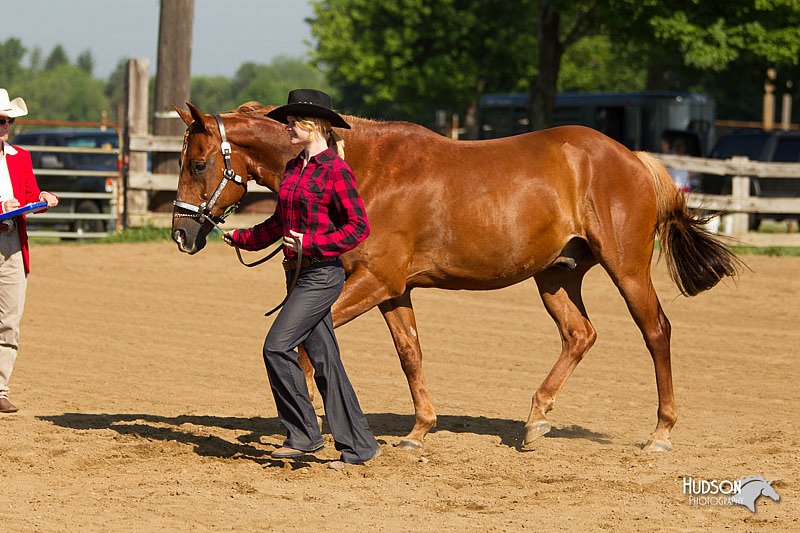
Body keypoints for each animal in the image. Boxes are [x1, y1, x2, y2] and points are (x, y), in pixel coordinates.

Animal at [172, 102, 740, 450]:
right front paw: (418, 430)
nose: (181, 232)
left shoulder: (373, 282)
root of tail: (633, 158)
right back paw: (536, 419)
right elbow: (410, 354)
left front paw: (305, 421)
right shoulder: (393, 290)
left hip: (627, 269)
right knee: (580, 334)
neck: (362, 169)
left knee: (656, 332)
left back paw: (661, 432)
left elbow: (308, 348)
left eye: (198, 163)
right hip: (556, 275)